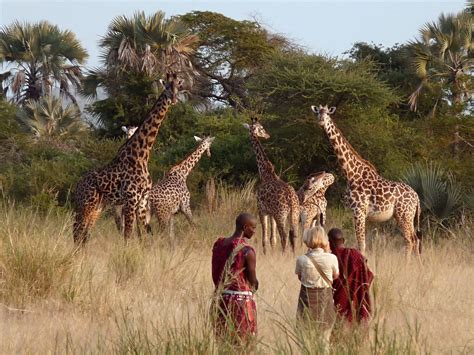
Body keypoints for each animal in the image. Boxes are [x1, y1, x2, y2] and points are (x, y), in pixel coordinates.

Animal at [244, 117, 300, 253]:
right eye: (262, 128)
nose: (267, 135)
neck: (265, 173)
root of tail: (291, 200)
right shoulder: (271, 213)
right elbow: (272, 239)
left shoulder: (261, 210)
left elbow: (265, 239)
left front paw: (266, 254)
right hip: (294, 215)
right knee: (294, 236)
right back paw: (293, 254)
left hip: (281, 215)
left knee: (284, 236)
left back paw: (284, 255)